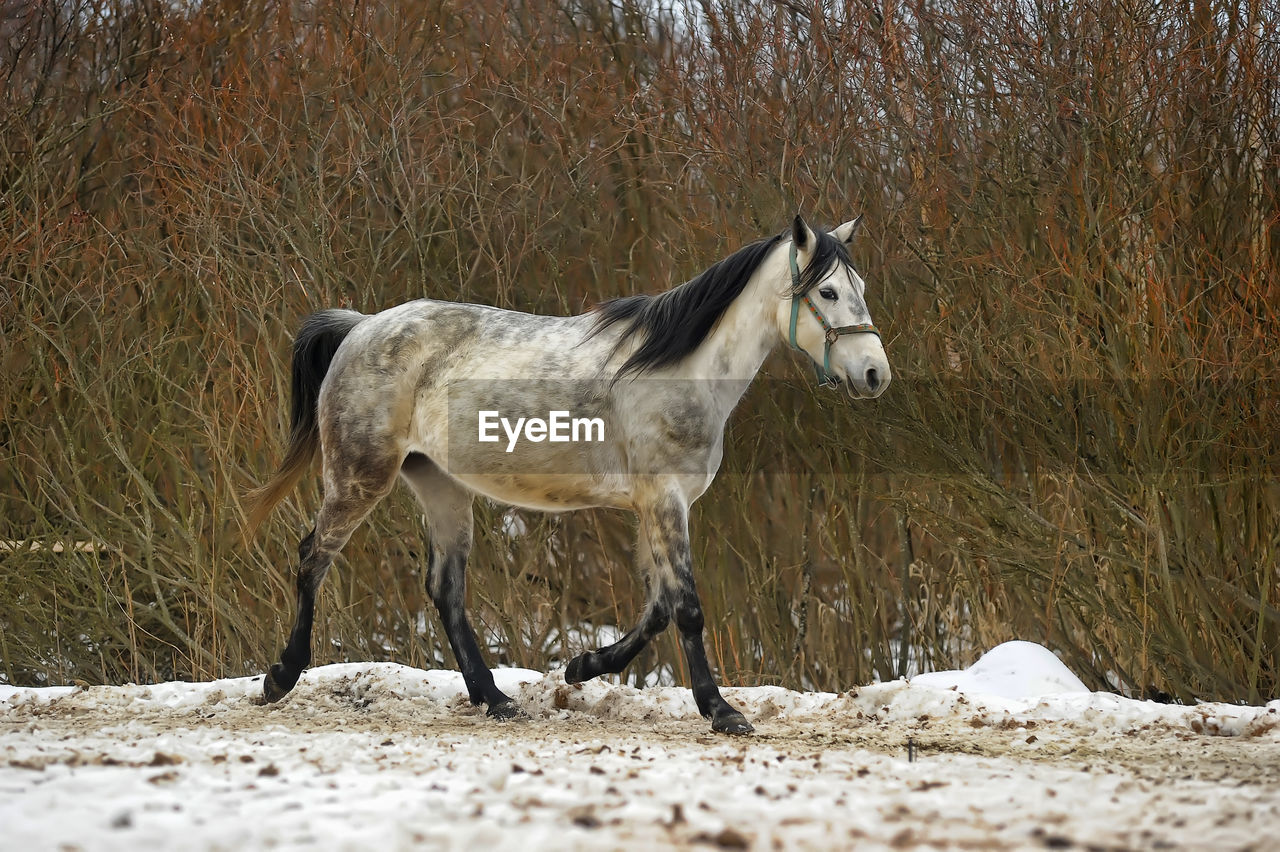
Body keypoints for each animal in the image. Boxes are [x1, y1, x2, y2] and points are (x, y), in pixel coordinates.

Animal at [247, 212, 890, 731]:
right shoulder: (664, 501)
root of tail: (360, 327)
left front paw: (583, 666)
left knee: (445, 590)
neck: (680, 373)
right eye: (829, 291)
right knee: (313, 557)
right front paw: (721, 711)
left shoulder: (656, 506)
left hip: (441, 487)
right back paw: (281, 677)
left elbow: (658, 607)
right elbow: (686, 607)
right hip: (360, 477)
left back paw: (495, 698)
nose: (875, 374)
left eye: (860, 288)